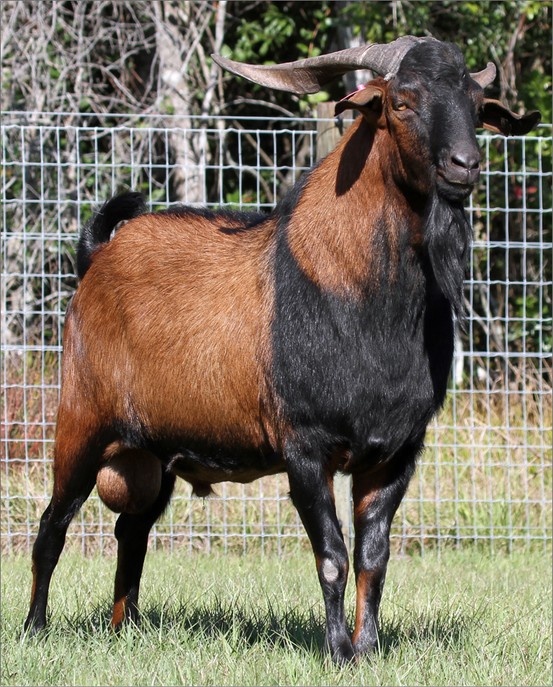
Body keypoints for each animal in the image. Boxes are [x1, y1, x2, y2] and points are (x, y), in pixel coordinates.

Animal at [24, 36, 539, 664]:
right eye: (401, 102)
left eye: (475, 103)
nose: (464, 166)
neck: (362, 301)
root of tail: (97, 256)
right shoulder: (304, 448)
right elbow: (333, 557)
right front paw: (338, 652)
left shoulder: (397, 452)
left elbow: (374, 557)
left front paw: (369, 650)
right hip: (81, 421)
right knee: (52, 527)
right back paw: (34, 630)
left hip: (155, 449)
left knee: (132, 532)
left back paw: (126, 628)